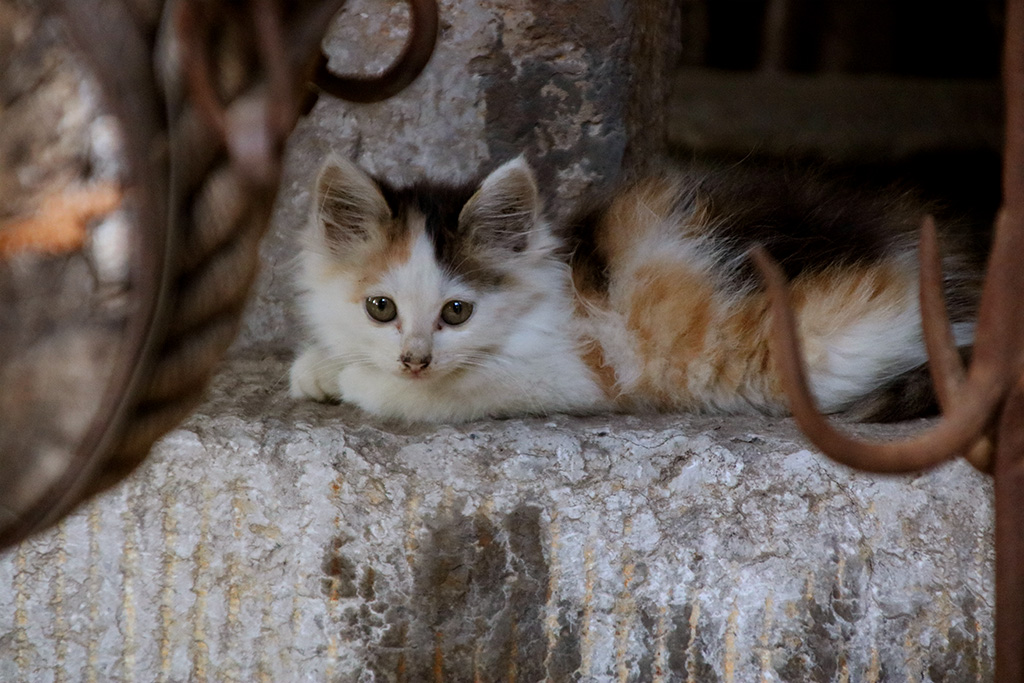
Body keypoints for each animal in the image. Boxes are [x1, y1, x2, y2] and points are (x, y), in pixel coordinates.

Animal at [290, 155, 983, 421]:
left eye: (456, 312)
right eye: (381, 308)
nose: (414, 359)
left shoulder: (579, 371)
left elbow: (448, 393)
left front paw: (358, 381)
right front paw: (320, 366)